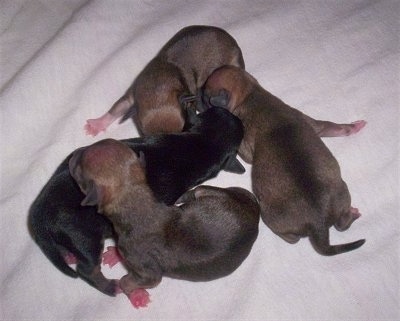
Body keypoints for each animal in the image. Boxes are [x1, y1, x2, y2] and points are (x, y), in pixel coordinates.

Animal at [28, 106, 244, 296]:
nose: (238, 117)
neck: (199, 145)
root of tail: (38, 213)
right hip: (85, 237)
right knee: (87, 269)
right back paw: (109, 286)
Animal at [70, 138, 260, 308]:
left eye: (79, 170)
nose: (73, 154)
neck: (136, 200)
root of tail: (255, 208)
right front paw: (114, 254)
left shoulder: (142, 264)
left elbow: (143, 279)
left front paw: (133, 292)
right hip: (219, 192)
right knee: (199, 190)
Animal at [85, 24, 244, 135]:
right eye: (144, 134)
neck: (158, 82)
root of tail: (229, 37)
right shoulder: (132, 95)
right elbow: (118, 107)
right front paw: (98, 124)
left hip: (234, 60)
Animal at [203, 65, 366, 255]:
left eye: (206, 96)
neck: (250, 94)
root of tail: (318, 223)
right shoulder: (309, 121)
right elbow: (329, 127)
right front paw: (353, 127)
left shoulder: (246, 143)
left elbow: (247, 157)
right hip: (342, 194)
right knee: (342, 224)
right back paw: (352, 214)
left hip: (270, 217)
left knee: (293, 239)